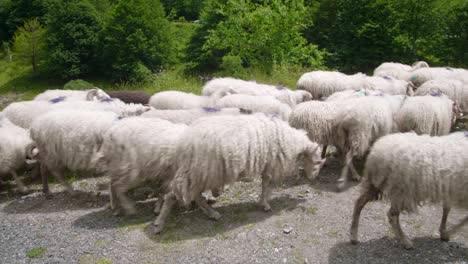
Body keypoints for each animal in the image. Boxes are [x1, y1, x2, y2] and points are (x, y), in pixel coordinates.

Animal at [151, 113, 326, 233]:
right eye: (317, 161)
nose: (314, 178)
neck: (290, 141)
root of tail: (183, 143)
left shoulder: (266, 166)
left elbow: (265, 185)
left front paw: (262, 202)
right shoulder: (271, 166)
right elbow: (268, 186)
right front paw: (265, 204)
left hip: (199, 174)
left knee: (194, 195)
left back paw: (211, 214)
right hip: (198, 172)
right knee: (173, 195)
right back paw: (159, 224)